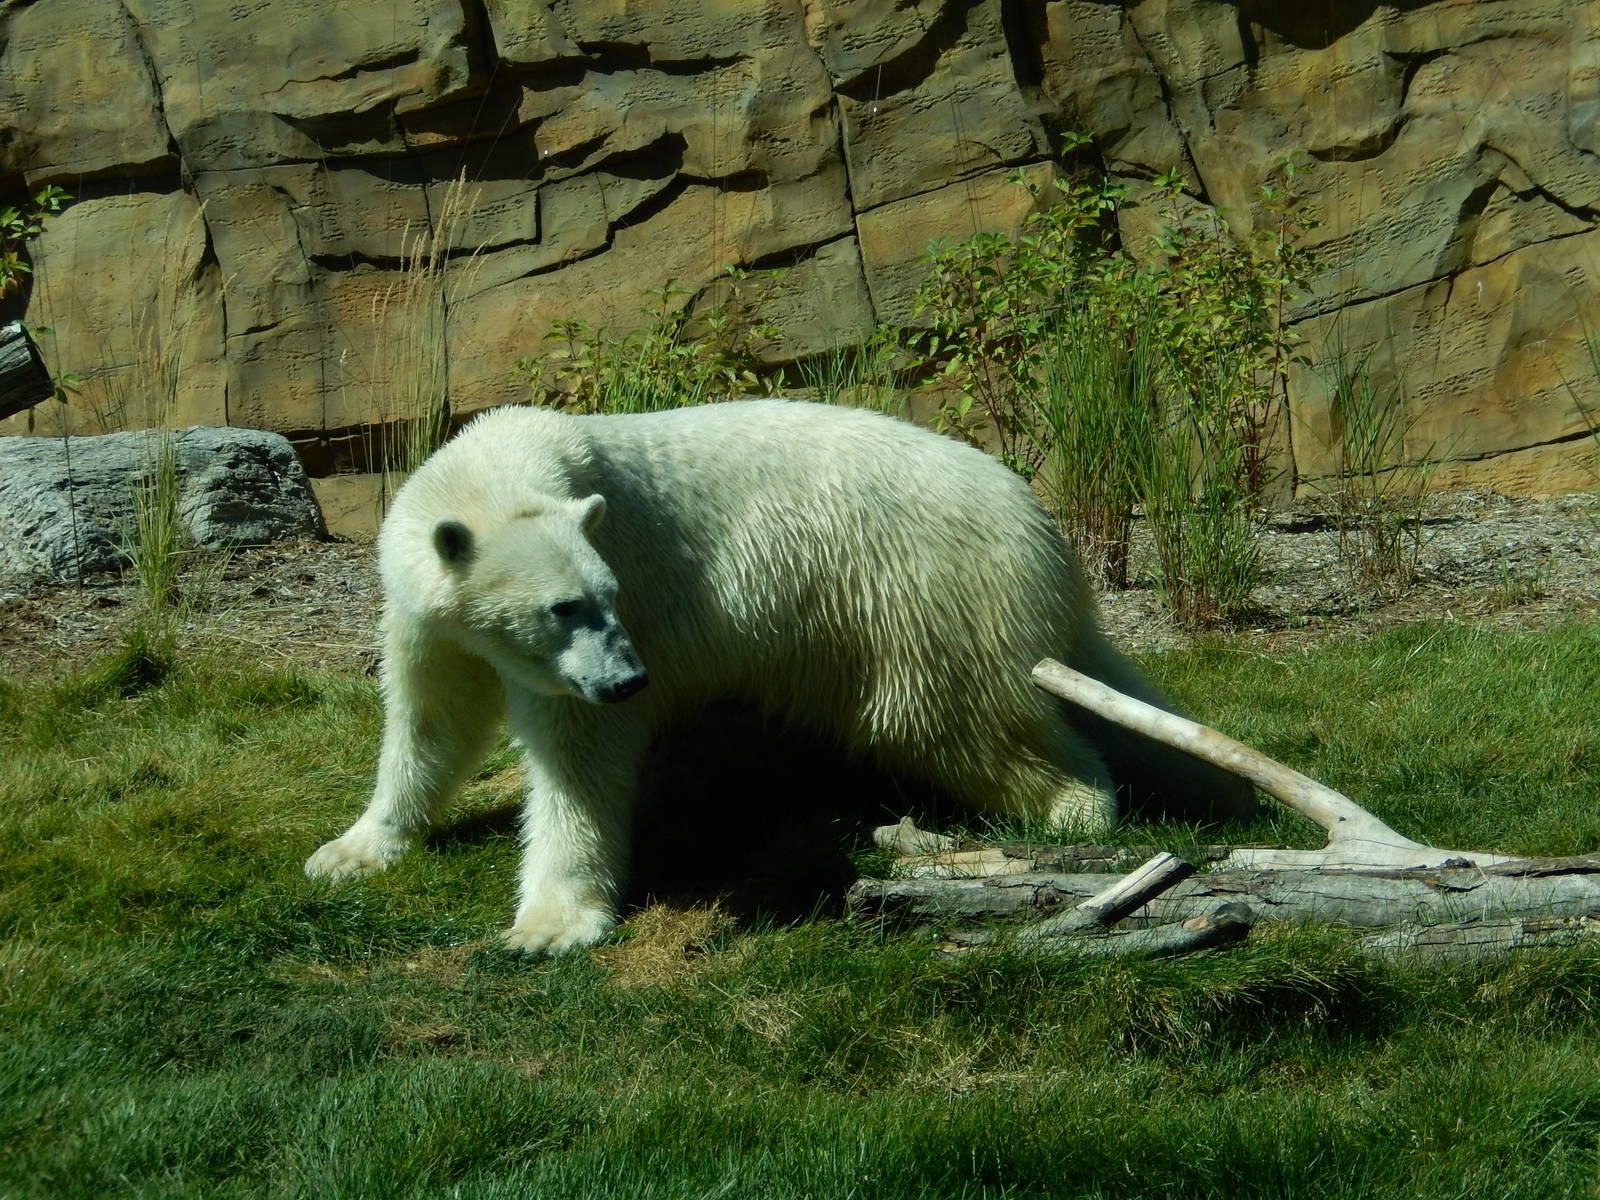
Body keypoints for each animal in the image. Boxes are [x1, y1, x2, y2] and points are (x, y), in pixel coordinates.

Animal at [304, 399, 1255, 952]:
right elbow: (432, 719)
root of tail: (1046, 531)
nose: (629, 681)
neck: (506, 458)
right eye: (563, 606)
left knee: (949, 716)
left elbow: (578, 758)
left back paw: (1072, 807)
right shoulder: (429, 615)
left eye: (604, 596)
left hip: (917, 596)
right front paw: (353, 848)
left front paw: (549, 923)